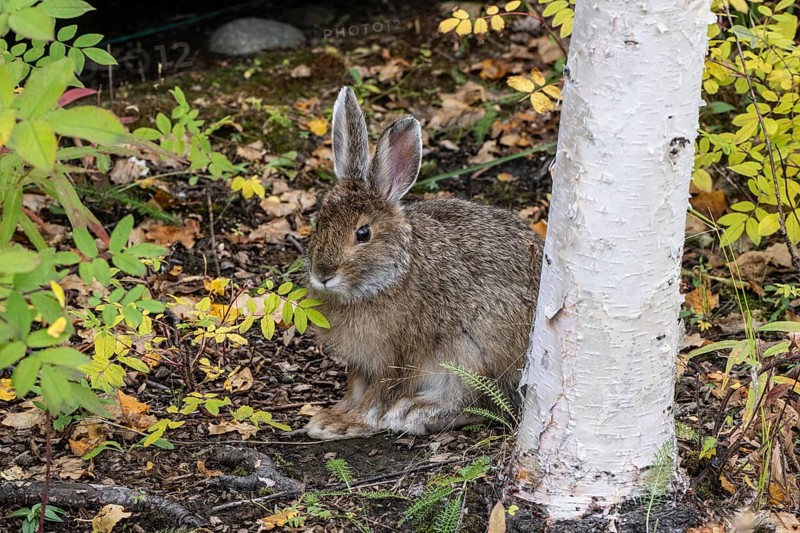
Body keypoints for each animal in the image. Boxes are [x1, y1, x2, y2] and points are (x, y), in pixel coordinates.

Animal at [304, 86, 543, 440]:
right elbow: (355, 388)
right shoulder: (362, 364)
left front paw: (348, 423)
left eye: (363, 233)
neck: (393, 274)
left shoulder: (398, 357)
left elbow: (377, 396)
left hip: (474, 352)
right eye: (319, 222)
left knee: (481, 403)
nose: (322, 274)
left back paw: (416, 412)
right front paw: (332, 415)